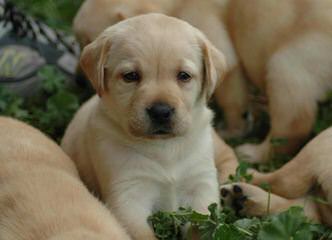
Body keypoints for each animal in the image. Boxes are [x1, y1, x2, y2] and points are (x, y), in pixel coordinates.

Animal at [61, 13, 239, 240]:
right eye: (130, 76)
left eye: (184, 76)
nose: (161, 111)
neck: (164, 148)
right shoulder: (128, 197)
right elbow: (141, 233)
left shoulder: (201, 186)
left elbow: (202, 222)